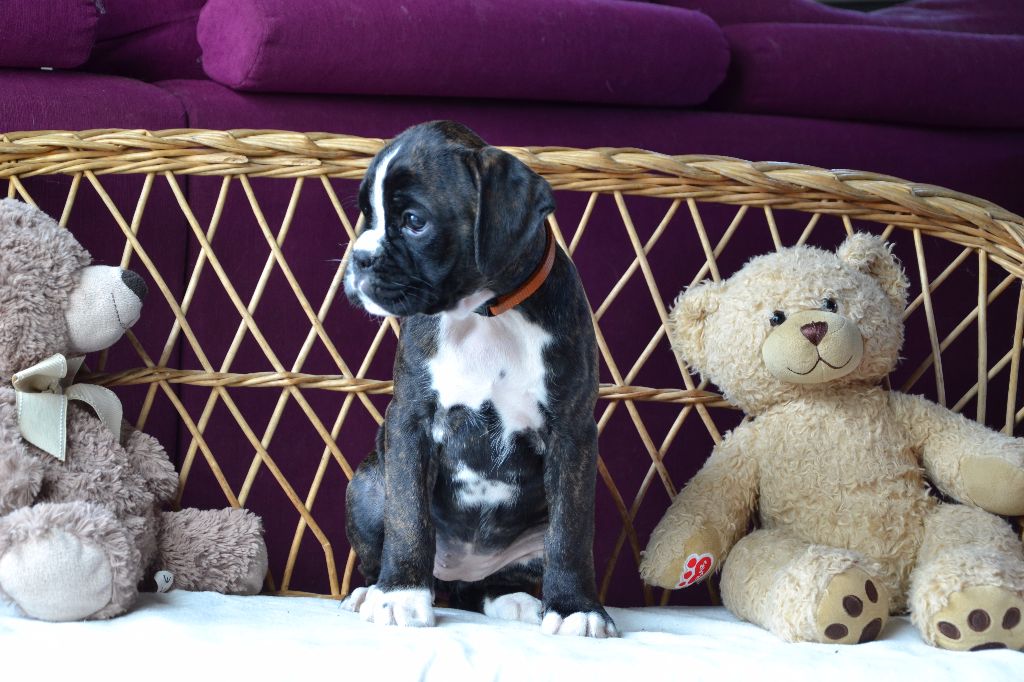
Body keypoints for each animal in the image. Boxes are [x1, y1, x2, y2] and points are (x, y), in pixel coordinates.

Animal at [339, 121, 616, 637]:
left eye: (414, 221)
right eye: (368, 216)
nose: (359, 259)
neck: (484, 313)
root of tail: (457, 573)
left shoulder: (572, 433)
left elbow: (571, 531)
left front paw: (575, 607)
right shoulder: (410, 421)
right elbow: (409, 516)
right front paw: (401, 595)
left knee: (487, 585)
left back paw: (514, 599)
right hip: (366, 488)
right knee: (379, 549)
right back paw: (372, 589)